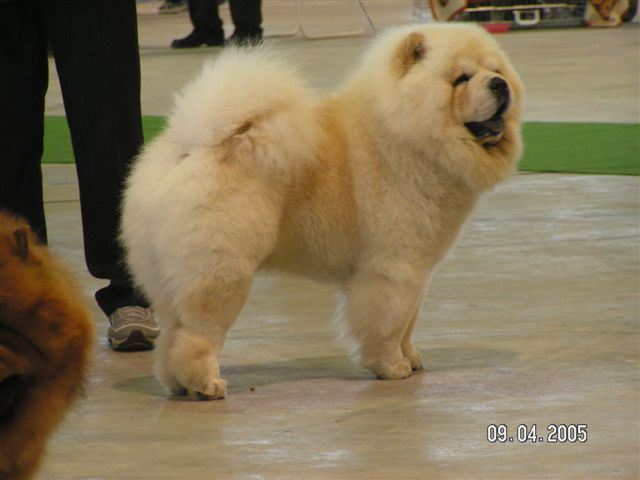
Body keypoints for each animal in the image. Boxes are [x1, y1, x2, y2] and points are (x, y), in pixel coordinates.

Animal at [122, 24, 523, 400]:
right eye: (461, 79)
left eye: (496, 69)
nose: (500, 84)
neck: (406, 135)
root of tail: (192, 147)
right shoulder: (393, 268)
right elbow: (389, 323)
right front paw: (392, 366)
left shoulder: (418, 271)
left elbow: (409, 321)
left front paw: (412, 358)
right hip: (221, 273)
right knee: (198, 334)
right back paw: (206, 385)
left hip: (169, 277)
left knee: (172, 335)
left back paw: (176, 383)